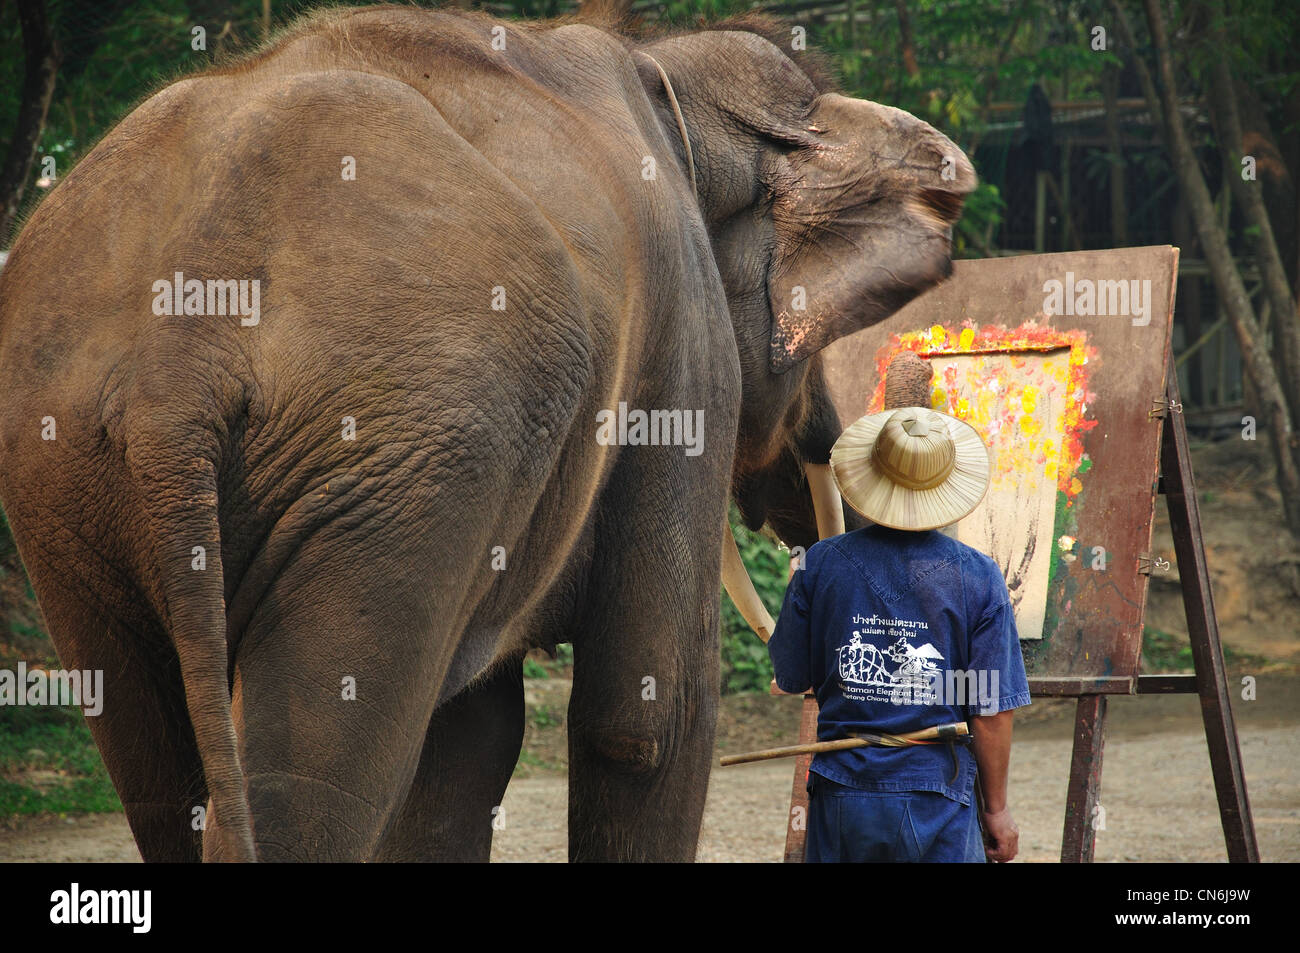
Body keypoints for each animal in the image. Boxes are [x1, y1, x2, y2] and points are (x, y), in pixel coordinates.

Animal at [0, 5, 973, 861]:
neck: (663, 64)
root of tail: (184, 348)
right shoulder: (680, 340)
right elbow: (645, 718)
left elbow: (466, 743)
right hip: (402, 453)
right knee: (317, 778)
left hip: (70, 484)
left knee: (166, 772)